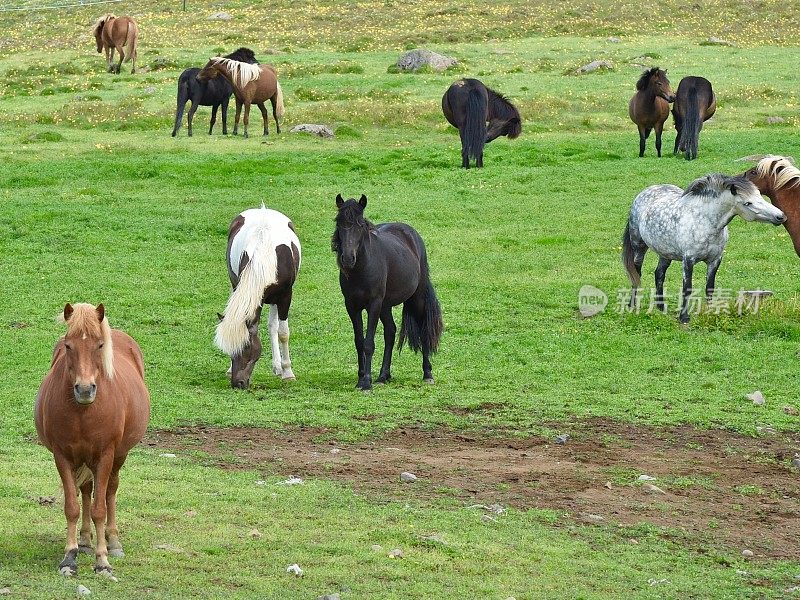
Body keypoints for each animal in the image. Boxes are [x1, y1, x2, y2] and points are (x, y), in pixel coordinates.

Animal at [34, 304, 150, 576]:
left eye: (99, 345)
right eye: (68, 345)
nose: (85, 390)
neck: (83, 412)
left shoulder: (105, 455)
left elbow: (100, 509)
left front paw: (102, 560)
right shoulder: (62, 456)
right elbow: (72, 507)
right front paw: (70, 556)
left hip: (118, 456)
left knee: (110, 491)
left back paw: (113, 542)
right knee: (87, 491)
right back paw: (85, 540)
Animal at [214, 205, 302, 390]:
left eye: (247, 347)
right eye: (231, 350)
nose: (238, 383)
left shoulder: (285, 296)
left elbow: (283, 332)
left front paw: (288, 372)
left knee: (273, 326)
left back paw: (278, 367)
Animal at [332, 193, 444, 390]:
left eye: (360, 225)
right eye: (339, 223)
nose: (348, 259)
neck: (362, 269)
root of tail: (411, 234)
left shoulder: (374, 304)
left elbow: (368, 343)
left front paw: (366, 383)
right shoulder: (352, 306)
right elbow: (359, 341)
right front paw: (361, 379)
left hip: (416, 299)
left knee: (422, 330)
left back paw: (427, 374)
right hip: (385, 305)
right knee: (390, 332)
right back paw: (383, 376)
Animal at [620, 173, 784, 324]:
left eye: (760, 196)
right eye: (748, 203)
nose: (780, 216)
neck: (706, 221)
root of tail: (644, 193)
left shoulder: (715, 260)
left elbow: (709, 287)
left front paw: (710, 312)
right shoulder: (688, 260)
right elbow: (687, 288)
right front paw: (684, 317)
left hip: (665, 253)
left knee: (659, 274)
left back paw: (661, 307)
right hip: (639, 247)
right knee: (636, 273)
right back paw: (632, 305)